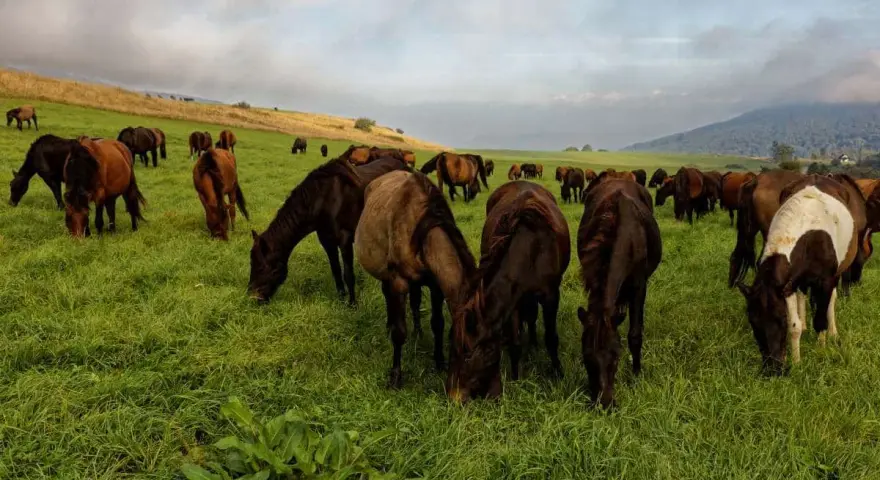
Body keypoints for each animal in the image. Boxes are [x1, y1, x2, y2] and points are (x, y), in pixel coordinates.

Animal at [248, 157, 408, 304]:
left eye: (262, 267)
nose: (254, 298)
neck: (324, 200)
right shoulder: (327, 241)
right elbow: (336, 270)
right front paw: (341, 299)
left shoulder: (345, 240)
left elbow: (348, 274)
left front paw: (352, 304)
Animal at [577, 179, 662, 408]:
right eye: (586, 358)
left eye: (616, 357)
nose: (605, 403)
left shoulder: (640, 286)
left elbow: (635, 334)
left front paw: (636, 374)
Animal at [736, 176, 865, 374]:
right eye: (752, 321)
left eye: (780, 319)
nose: (773, 369)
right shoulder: (786, 285)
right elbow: (794, 325)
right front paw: (797, 362)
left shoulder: (825, 281)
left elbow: (820, 318)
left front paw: (821, 348)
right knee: (803, 295)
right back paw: (805, 325)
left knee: (831, 299)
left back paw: (833, 332)